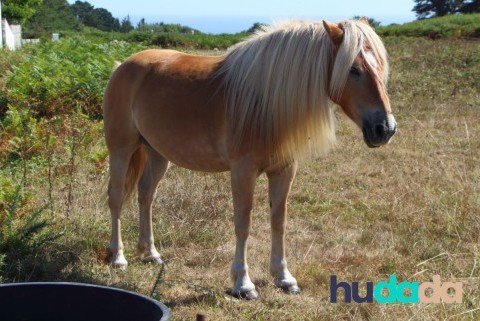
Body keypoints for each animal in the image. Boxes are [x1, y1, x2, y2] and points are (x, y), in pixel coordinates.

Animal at [103, 18, 396, 298]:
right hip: (121, 149)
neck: (266, 103)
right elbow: (243, 224)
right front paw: (243, 284)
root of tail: (122, 66)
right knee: (116, 198)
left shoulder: (284, 170)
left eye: (380, 66)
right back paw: (118, 257)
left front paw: (284, 278)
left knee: (146, 195)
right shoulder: (243, 171)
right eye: (354, 70)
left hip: (157, 154)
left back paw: (150, 253)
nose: (385, 129)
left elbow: (279, 221)